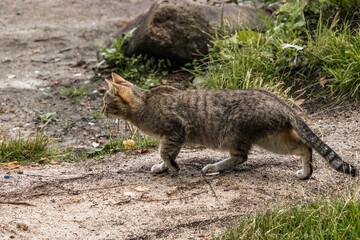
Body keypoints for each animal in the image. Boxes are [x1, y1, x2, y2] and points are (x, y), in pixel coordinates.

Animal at [101, 72, 358, 179]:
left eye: (105, 102)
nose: (101, 111)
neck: (144, 105)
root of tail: (280, 102)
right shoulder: (175, 138)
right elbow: (167, 154)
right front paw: (164, 167)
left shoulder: (176, 131)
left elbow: (165, 153)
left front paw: (171, 167)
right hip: (273, 139)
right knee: (306, 147)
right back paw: (306, 173)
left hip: (234, 133)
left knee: (241, 157)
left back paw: (214, 167)